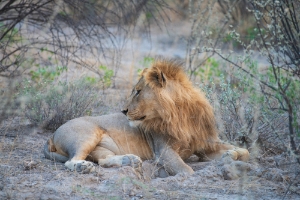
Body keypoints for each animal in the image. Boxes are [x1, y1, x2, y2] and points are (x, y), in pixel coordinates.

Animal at [43, 58, 250, 176]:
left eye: (138, 91)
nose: (123, 111)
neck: (181, 115)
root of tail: (51, 135)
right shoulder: (162, 150)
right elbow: (187, 170)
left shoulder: (205, 146)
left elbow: (245, 151)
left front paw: (231, 154)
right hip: (87, 134)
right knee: (71, 161)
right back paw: (83, 167)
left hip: (100, 149)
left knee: (102, 160)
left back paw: (129, 161)